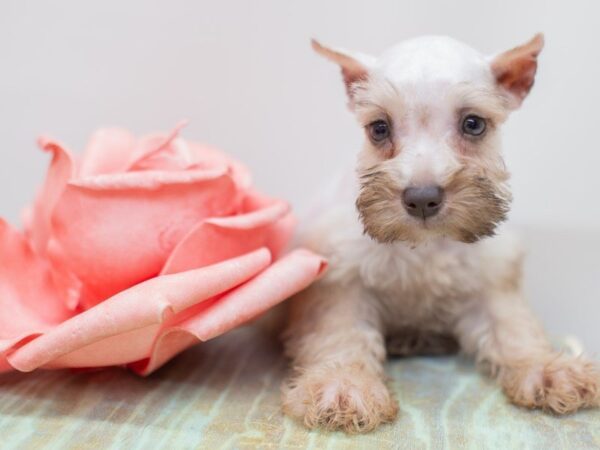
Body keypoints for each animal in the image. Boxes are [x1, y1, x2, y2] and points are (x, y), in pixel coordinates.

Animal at [282, 34, 600, 432]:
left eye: (473, 124)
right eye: (379, 128)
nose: (422, 198)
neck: (426, 247)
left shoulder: (490, 281)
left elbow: (513, 327)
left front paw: (545, 367)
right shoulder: (342, 281)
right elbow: (341, 332)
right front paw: (343, 383)